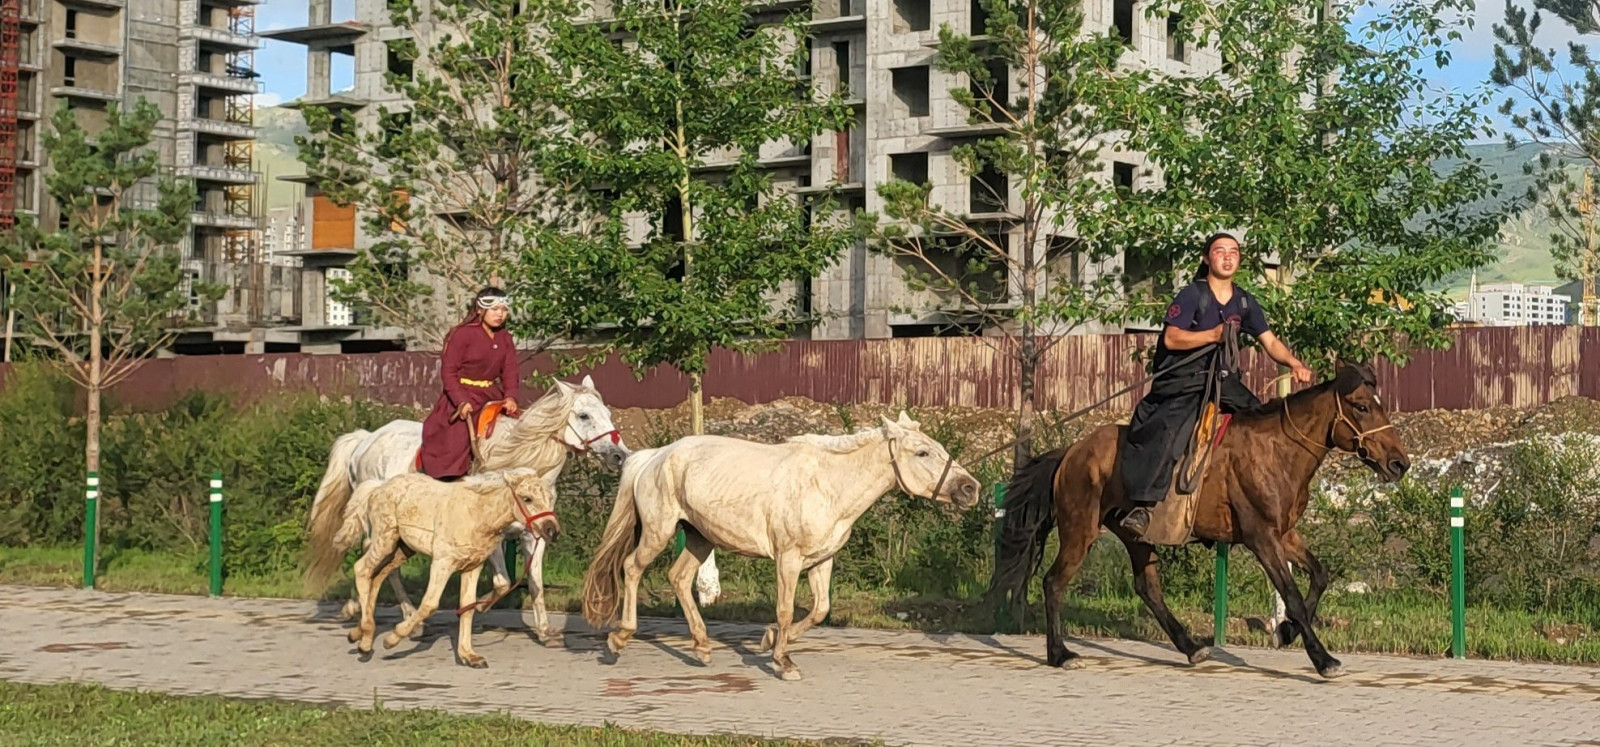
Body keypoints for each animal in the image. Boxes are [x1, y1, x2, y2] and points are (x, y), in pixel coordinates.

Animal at [302, 377, 627, 646]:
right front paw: (479, 606)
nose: (619, 455)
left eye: (608, 414)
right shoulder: (492, 537)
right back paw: (397, 615)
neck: (520, 465)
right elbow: (502, 583)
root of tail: (366, 440)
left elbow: (535, 583)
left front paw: (545, 631)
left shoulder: (534, 536)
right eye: (584, 416)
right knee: (378, 562)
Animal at [992, 359, 1408, 681]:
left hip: (1135, 536)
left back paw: (1191, 647)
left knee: (1147, 587)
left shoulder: (1286, 535)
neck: (1276, 450)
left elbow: (1319, 577)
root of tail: (1072, 452)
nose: (1399, 463)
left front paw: (1288, 631)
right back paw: (1059, 653)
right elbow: (1291, 594)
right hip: (1080, 531)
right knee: (1053, 582)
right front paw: (1322, 659)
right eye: (1360, 406)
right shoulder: (1262, 538)